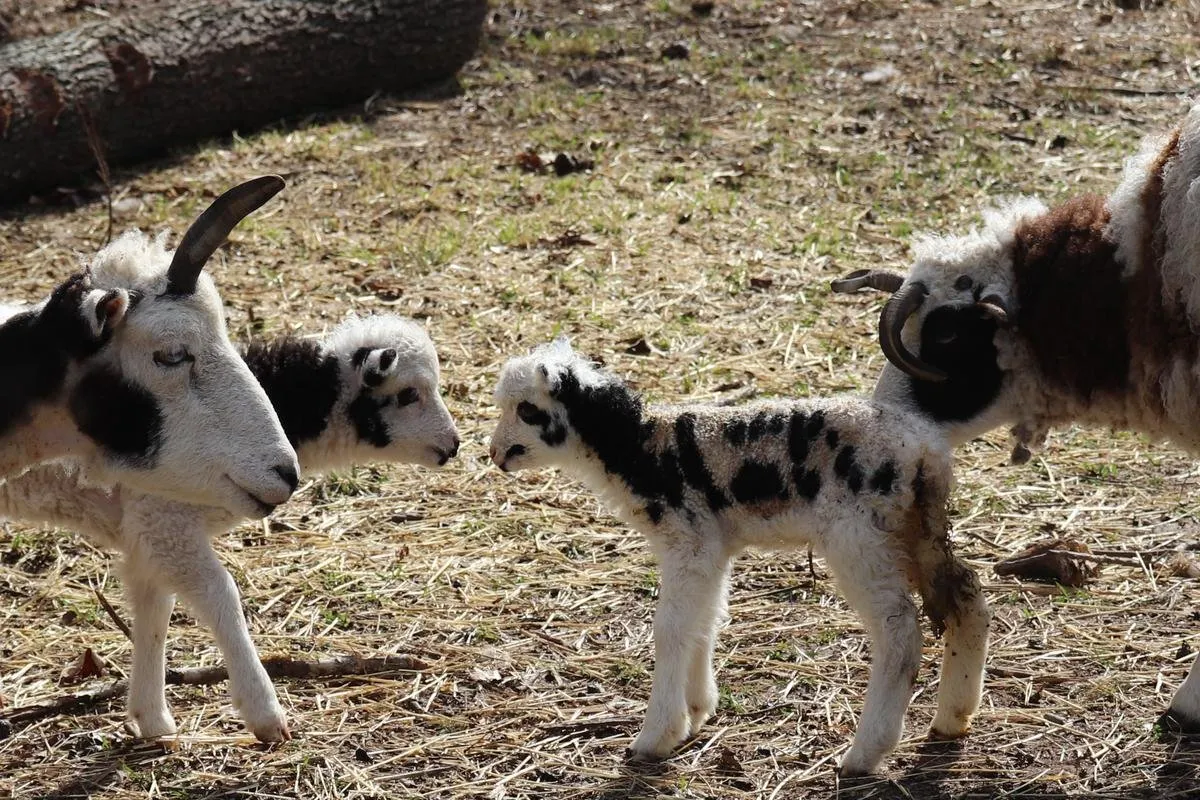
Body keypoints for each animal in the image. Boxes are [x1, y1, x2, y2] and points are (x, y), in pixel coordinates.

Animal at [0, 314, 459, 742]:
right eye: (409, 394)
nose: (453, 445)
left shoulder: (148, 533)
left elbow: (155, 612)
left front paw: (152, 719)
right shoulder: (166, 521)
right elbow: (221, 597)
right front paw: (265, 714)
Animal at [487, 339, 990, 776]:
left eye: (526, 410)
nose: (495, 455)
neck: (640, 445)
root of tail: (926, 450)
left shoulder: (688, 541)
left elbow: (670, 629)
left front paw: (655, 736)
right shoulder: (709, 545)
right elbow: (703, 622)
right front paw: (695, 710)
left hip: (860, 535)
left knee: (899, 631)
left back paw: (865, 753)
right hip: (914, 527)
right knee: (967, 596)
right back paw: (953, 717)